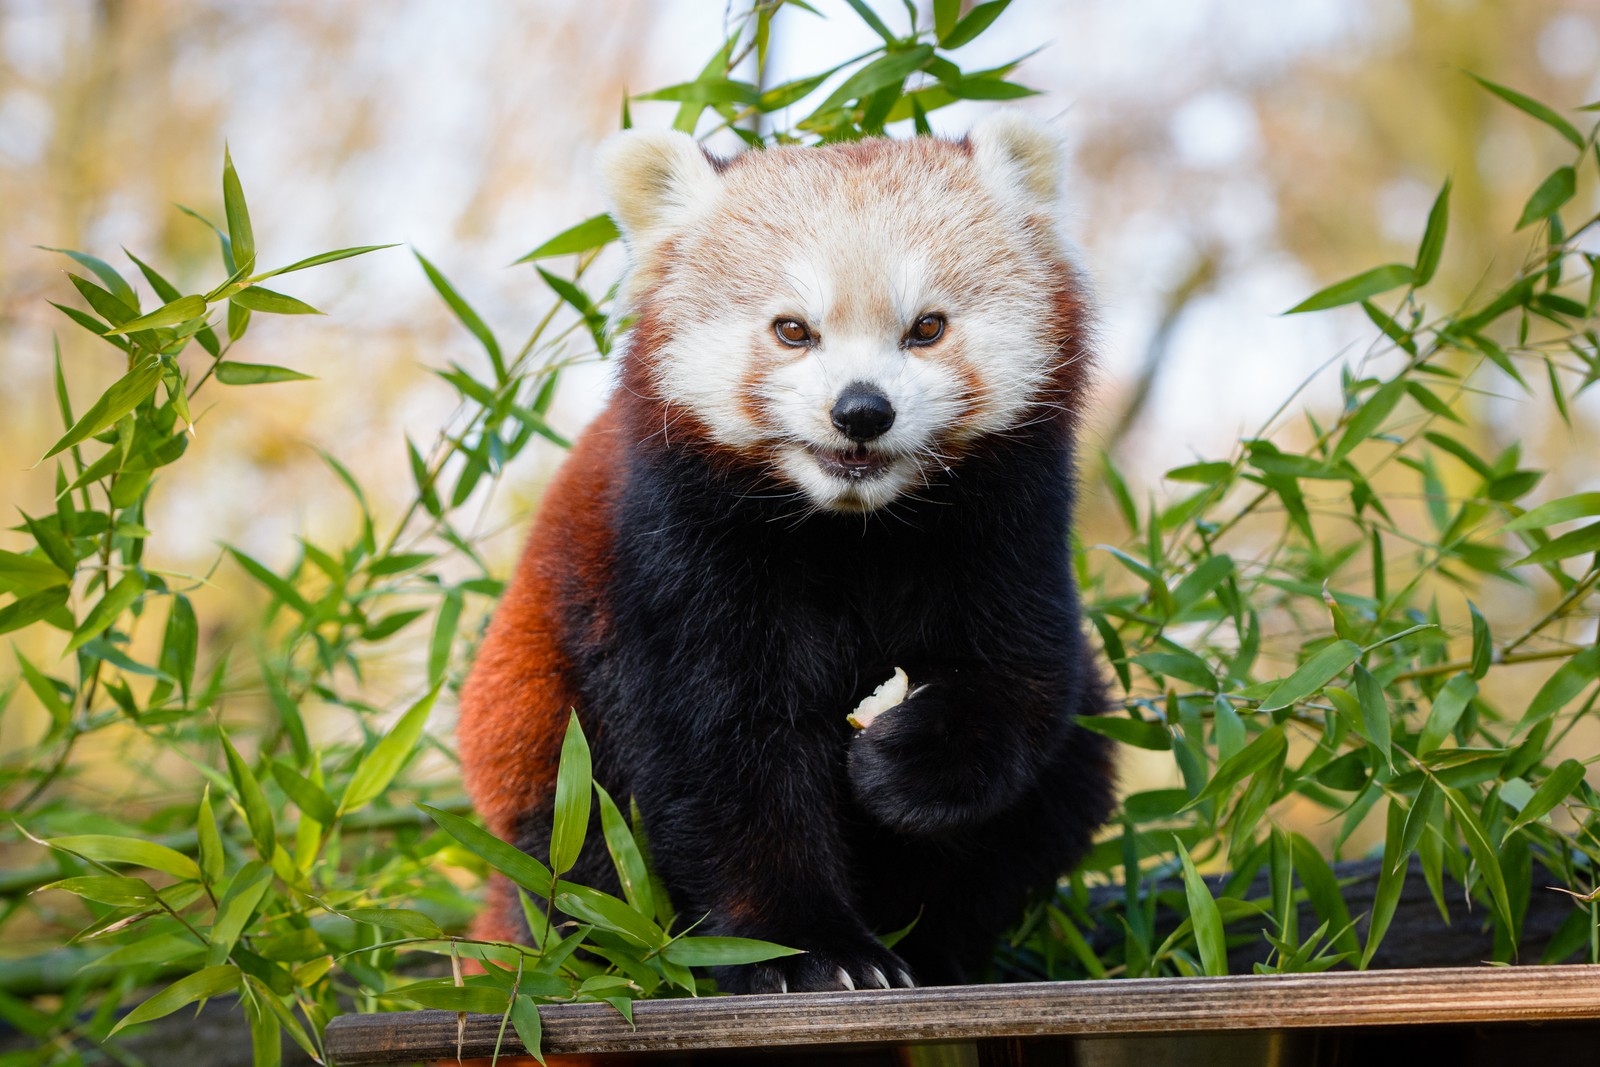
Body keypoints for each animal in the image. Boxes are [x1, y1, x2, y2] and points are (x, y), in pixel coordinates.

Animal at [457, 112, 1120, 998]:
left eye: (927, 327)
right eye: (793, 330)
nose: (862, 411)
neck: (852, 528)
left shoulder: (1009, 525)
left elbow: (1022, 681)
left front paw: (897, 762)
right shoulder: (675, 552)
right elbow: (722, 756)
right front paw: (809, 950)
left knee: (1066, 779)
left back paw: (939, 949)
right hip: (539, 749)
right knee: (582, 846)